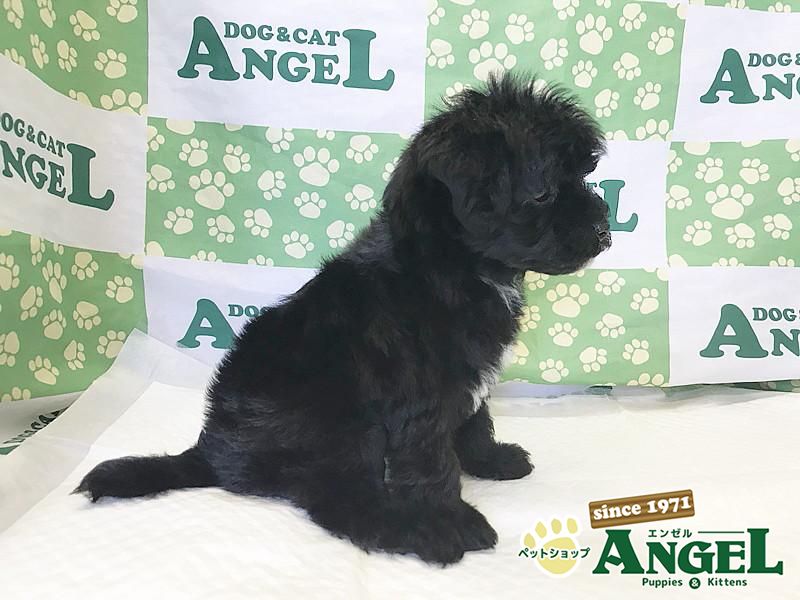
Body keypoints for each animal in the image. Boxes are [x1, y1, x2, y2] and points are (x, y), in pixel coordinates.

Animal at [76, 72, 610, 565]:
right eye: (543, 194)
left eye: (579, 177)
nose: (605, 228)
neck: (450, 265)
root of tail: (208, 452)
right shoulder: (421, 400)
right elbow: (432, 462)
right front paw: (446, 517)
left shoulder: (468, 380)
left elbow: (476, 421)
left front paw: (492, 459)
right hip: (339, 428)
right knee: (340, 502)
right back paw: (418, 533)